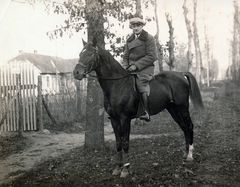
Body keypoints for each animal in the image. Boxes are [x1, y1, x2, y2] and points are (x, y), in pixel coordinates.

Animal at [72, 38, 203, 178]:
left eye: (90, 54)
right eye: (80, 54)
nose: (76, 73)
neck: (117, 84)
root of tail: (180, 74)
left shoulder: (125, 119)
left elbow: (125, 143)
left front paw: (125, 169)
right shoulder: (114, 120)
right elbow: (118, 143)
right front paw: (117, 168)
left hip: (182, 107)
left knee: (189, 126)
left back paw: (190, 155)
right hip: (173, 109)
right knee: (184, 127)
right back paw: (185, 153)